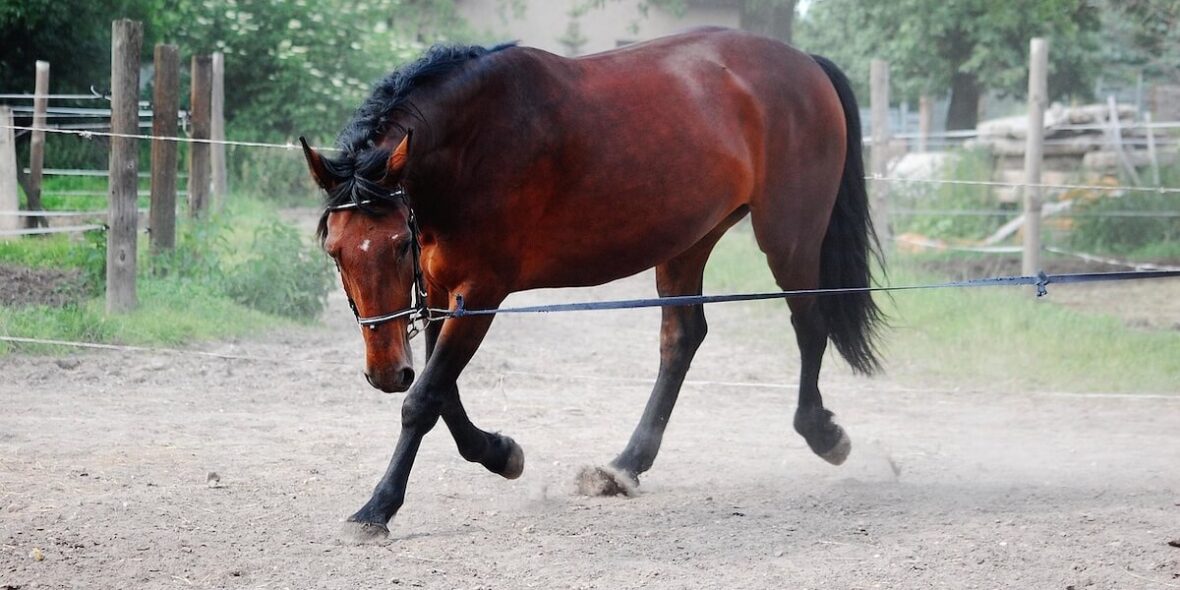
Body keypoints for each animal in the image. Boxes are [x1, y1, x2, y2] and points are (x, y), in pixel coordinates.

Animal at [301, 27, 883, 540]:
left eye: (400, 243)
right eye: (334, 250)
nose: (385, 373)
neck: (473, 142)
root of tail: (804, 63)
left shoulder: (482, 292)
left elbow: (424, 399)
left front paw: (376, 510)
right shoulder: (442, 295)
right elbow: (442, 395)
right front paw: (501, 454)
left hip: (789, 234)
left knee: (809, 322)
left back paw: (823, 433)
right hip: (688, 239)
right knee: (683, 338)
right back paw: (625, 465)